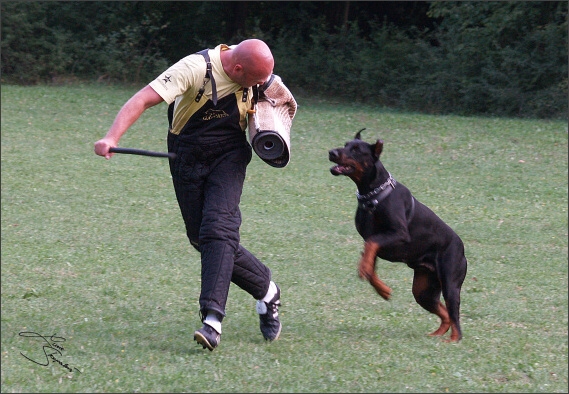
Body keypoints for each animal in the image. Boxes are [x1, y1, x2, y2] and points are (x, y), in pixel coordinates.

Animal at [326, 130, 468, 342]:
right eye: (345, 144)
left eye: (356, 150)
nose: (332, 152)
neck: (373, 195)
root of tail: (462, 248)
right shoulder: (376, 243)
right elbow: (369, 262)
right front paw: (382, 289)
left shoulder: (399, 234)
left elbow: (370, 245)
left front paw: (366, 271)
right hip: (423, 291)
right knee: (445, 313)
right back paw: (436, 335)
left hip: (450, 284)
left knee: (455, 317)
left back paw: (452, 340)